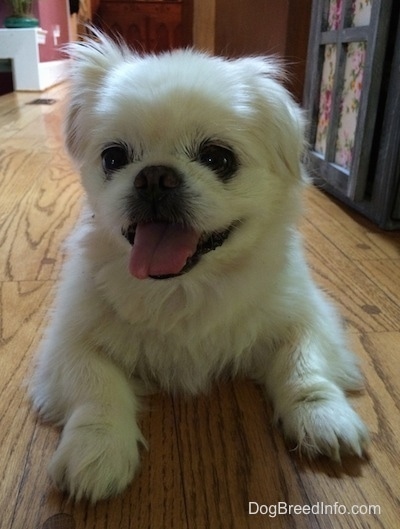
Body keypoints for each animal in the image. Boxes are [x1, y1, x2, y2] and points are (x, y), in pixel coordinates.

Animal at [30, 31, 368, 502]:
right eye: (114, 158)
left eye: (218, 158)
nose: (154, 176)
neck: (181, 289)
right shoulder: (69, 340)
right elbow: (96, 387)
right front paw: (96, 449)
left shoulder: (307, 315)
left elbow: (305, 366)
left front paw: (323, 419)